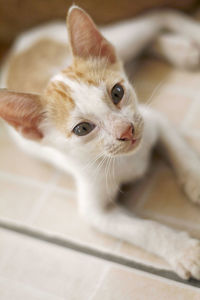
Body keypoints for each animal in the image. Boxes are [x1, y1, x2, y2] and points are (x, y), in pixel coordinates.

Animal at [0, 5, 200, 280]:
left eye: (117, 92)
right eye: (83, 129)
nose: (126, 130)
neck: (126, 159)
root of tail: (18, 45)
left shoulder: (151, 119)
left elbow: (180, 149)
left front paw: (196, 180)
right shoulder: (95, 210)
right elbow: (144, 230)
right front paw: (184, 251)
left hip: (120, 39)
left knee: (157, 16)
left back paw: (185, 41)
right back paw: (181, 51)